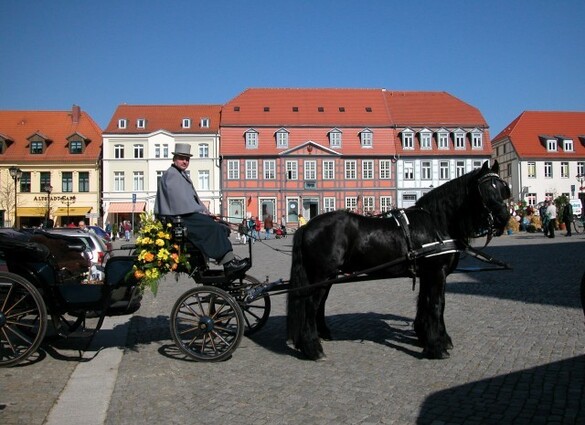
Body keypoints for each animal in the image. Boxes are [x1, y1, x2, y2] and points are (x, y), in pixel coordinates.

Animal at [288, 161, 512, 360]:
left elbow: (426, 303)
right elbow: (437, 304)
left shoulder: (428, 274)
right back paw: (312, 348)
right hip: (321, 276)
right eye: (485, 190)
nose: (504, 218)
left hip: (327, 277)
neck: (436, 224)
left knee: (319, 305)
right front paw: (436, 347)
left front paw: (428, 337)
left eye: (503, 189)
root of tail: (307, 226)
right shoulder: (436, 272)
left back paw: (319, 337)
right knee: (309, 306)